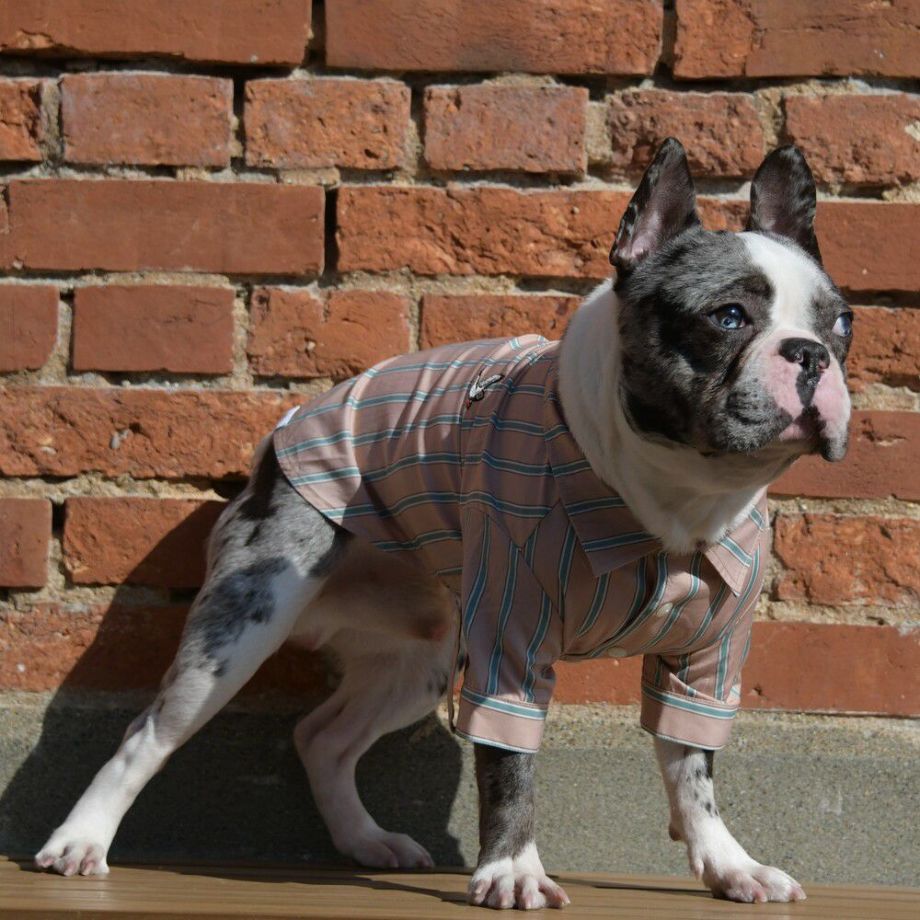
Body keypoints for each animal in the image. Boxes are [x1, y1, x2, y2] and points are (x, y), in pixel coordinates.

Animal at [35, 139, 852, 908]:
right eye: (727, 318)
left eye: (842, 324)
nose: (811, 354)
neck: (675, 495)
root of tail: (277, 440)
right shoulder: (511, 643)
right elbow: (511, 766)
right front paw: (513, 870)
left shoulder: (709, 657)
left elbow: (693, 766)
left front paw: (729, 864)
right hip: (244, 622)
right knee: (150, 732)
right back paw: (79, 842)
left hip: (421, 657)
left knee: (323, 738)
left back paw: (365, 841)